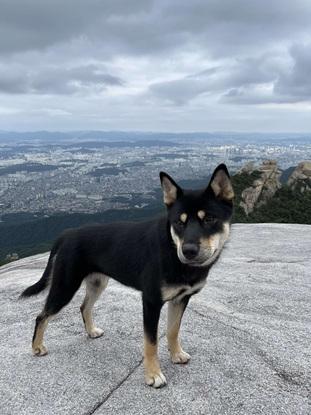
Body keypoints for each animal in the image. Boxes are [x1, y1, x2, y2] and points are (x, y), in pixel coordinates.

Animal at [21, 164, 234, 388]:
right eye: (178, 222)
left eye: (209, 219)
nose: (189, 251)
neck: (172, 248)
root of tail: (67, 234)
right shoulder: (151, 301)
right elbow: (151, 342)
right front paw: (153, 374)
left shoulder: (181, 299)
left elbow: (173, 330)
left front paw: (176, 355)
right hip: (65, 286)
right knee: (41, 316)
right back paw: (37, 347)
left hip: (97, 283)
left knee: (84, 306)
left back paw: (91, 331)